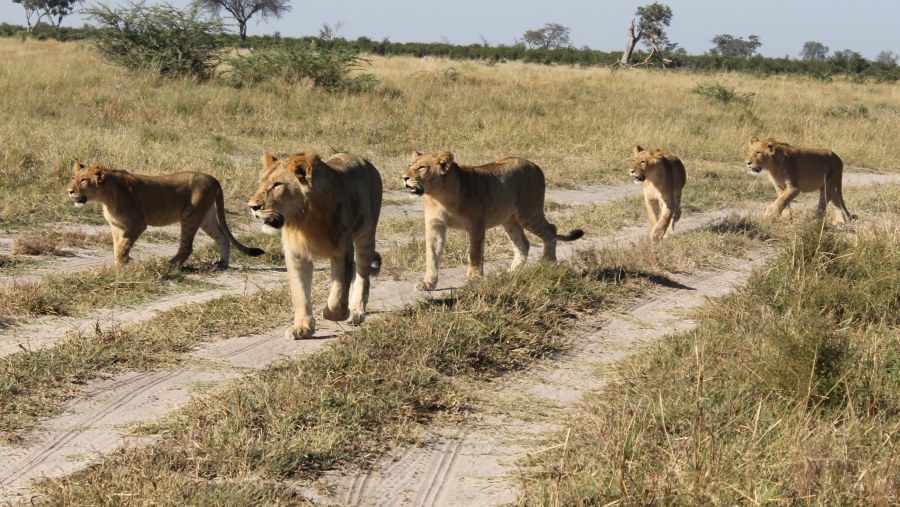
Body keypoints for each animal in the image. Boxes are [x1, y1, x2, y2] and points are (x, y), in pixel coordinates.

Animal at [66, 165, 264, 270]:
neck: (105, 197)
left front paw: (124, 264)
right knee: (222, 238)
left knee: (187, 247)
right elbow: (117, 247)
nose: (69, 191)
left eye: (84, 180)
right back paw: (221, 264)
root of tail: (214, 179)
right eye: (73, 178)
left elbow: (122, 246)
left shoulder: (138, 224)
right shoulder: (116, 226)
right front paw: (119, 265)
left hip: (190, 215)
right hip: (206, 217)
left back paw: (169, 265)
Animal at [248, 153, 382, 340]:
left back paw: (356, 312)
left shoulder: (342, 251)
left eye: (277, 185)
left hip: (366, 235)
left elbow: (338, 295)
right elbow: (299, 293)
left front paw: (332, 313)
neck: (303, 221)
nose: (252, 207)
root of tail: (364, 161)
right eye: (260, 182)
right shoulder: (296, 254)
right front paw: (302, 328)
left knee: (363, 274)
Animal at [400, 151, 584, 292]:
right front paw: (428, 283)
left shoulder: (476, 225)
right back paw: (510, 273)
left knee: (551, 229)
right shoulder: (435, 225)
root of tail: (535, 165)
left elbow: (474, 254)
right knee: (523, 244)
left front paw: (474, 278)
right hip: (509, 220)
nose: (404, 177)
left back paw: (548, 263)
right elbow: (432, 255)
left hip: (529, 213)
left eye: (422, 167)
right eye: (409, 164)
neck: (439, 195)